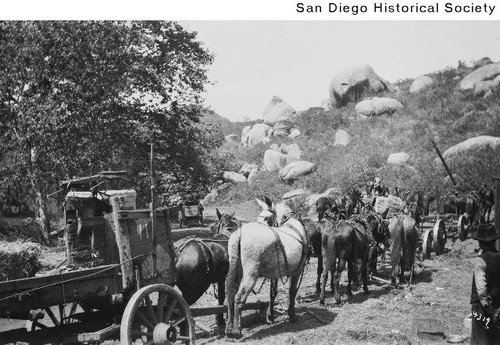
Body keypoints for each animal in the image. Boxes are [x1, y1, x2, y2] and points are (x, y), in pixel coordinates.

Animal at [226, 198, 308, 338]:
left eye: (266, 218)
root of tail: (240, 234)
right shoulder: (297, 270)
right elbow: (292, 292)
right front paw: (291, 315)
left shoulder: (275, 275)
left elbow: (273, 293)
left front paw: (271, 316)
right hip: (250, 276)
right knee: (239, 298)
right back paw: (236, 331)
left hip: (236, 271)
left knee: (231, 295)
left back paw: (228, 328)